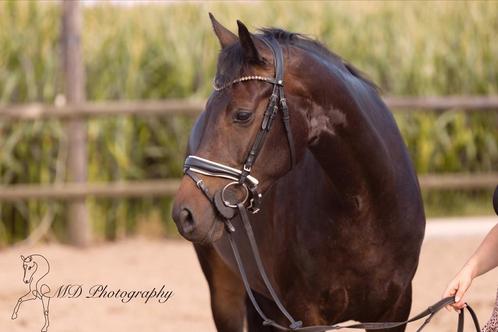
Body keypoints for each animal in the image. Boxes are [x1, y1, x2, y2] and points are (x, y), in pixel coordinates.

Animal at [172, 14, 424, 332]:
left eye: (242, 115)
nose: (184, 213)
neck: (365, 206)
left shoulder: (395, 311)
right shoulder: (305, 314)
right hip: (224, 291)